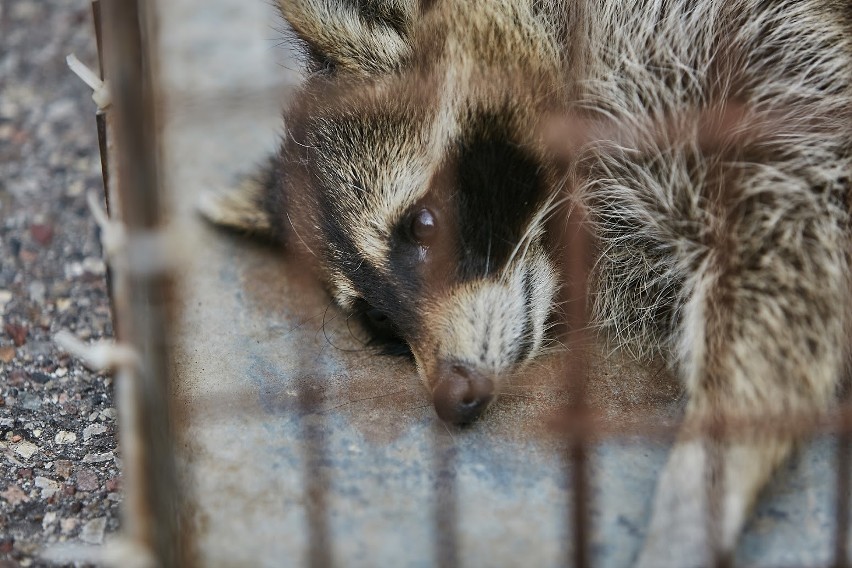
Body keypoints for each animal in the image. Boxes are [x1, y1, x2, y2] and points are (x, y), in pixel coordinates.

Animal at [201, 0, 852, 564]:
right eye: (378, 319)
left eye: (424, 226)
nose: (452, 396)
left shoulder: (752, 63)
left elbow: (792, 255)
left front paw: (699, 491)